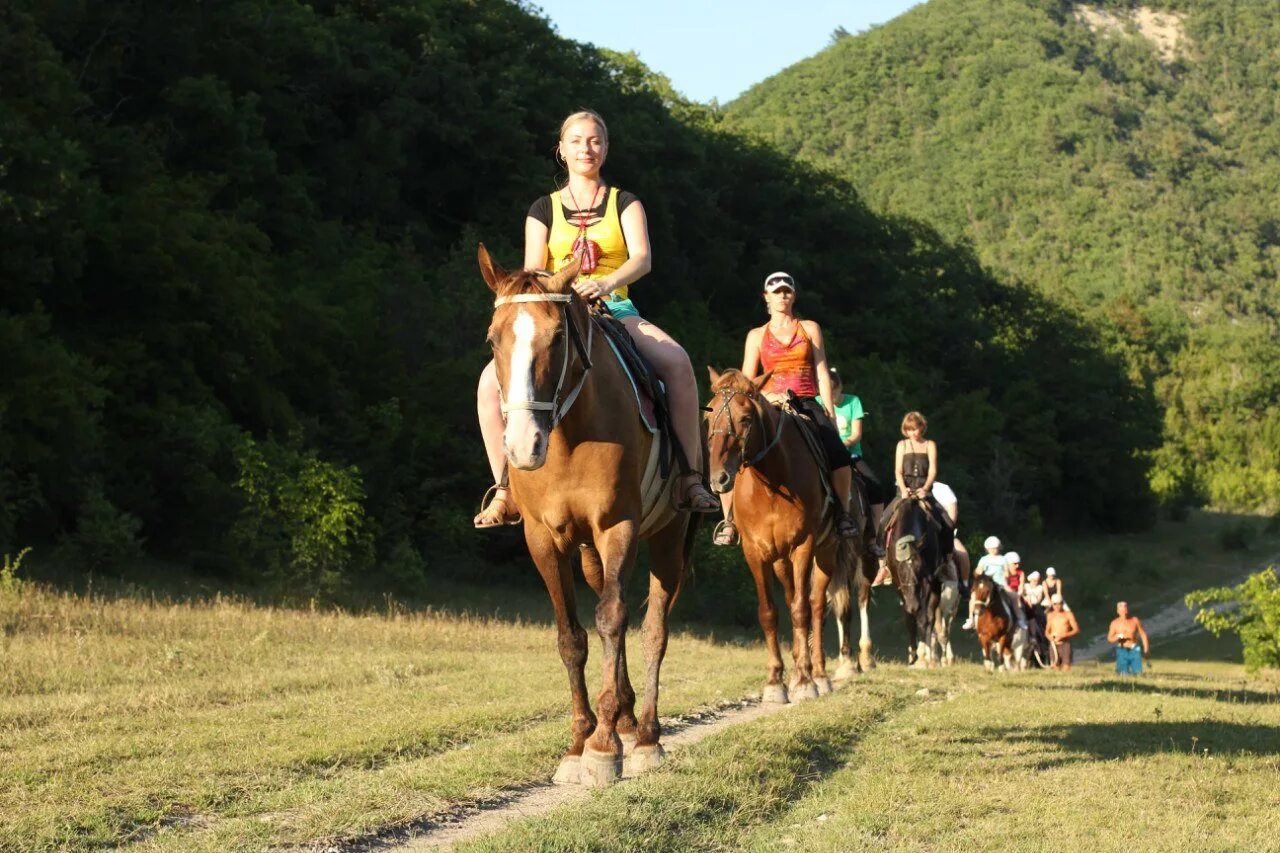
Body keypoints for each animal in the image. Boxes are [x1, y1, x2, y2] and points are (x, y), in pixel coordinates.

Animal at [481, 244, 701, 783]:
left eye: (557, 337)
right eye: (493, 340)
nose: (522, 445)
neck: (567, 437)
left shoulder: (616, 527)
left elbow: (613, 620)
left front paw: (603, 748)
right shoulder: (543, 540)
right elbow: (572, 637)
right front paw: (580, 742)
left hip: (668, 536)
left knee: (652, 630)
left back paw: (645, 736)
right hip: (587, 553)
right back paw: (623, 718)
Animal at [701, 366, 870, 696]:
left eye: (746, 418)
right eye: (708, 416)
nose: (719, 478)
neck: (771, 485)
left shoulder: (803, 546)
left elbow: (802, 609)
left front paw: (805, 681)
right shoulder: (755, 552)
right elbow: (769, 612)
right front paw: (776, 681)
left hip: (826, 552)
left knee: (816, 606)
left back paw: (818, 673)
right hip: (781, 560)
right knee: (794, 597)